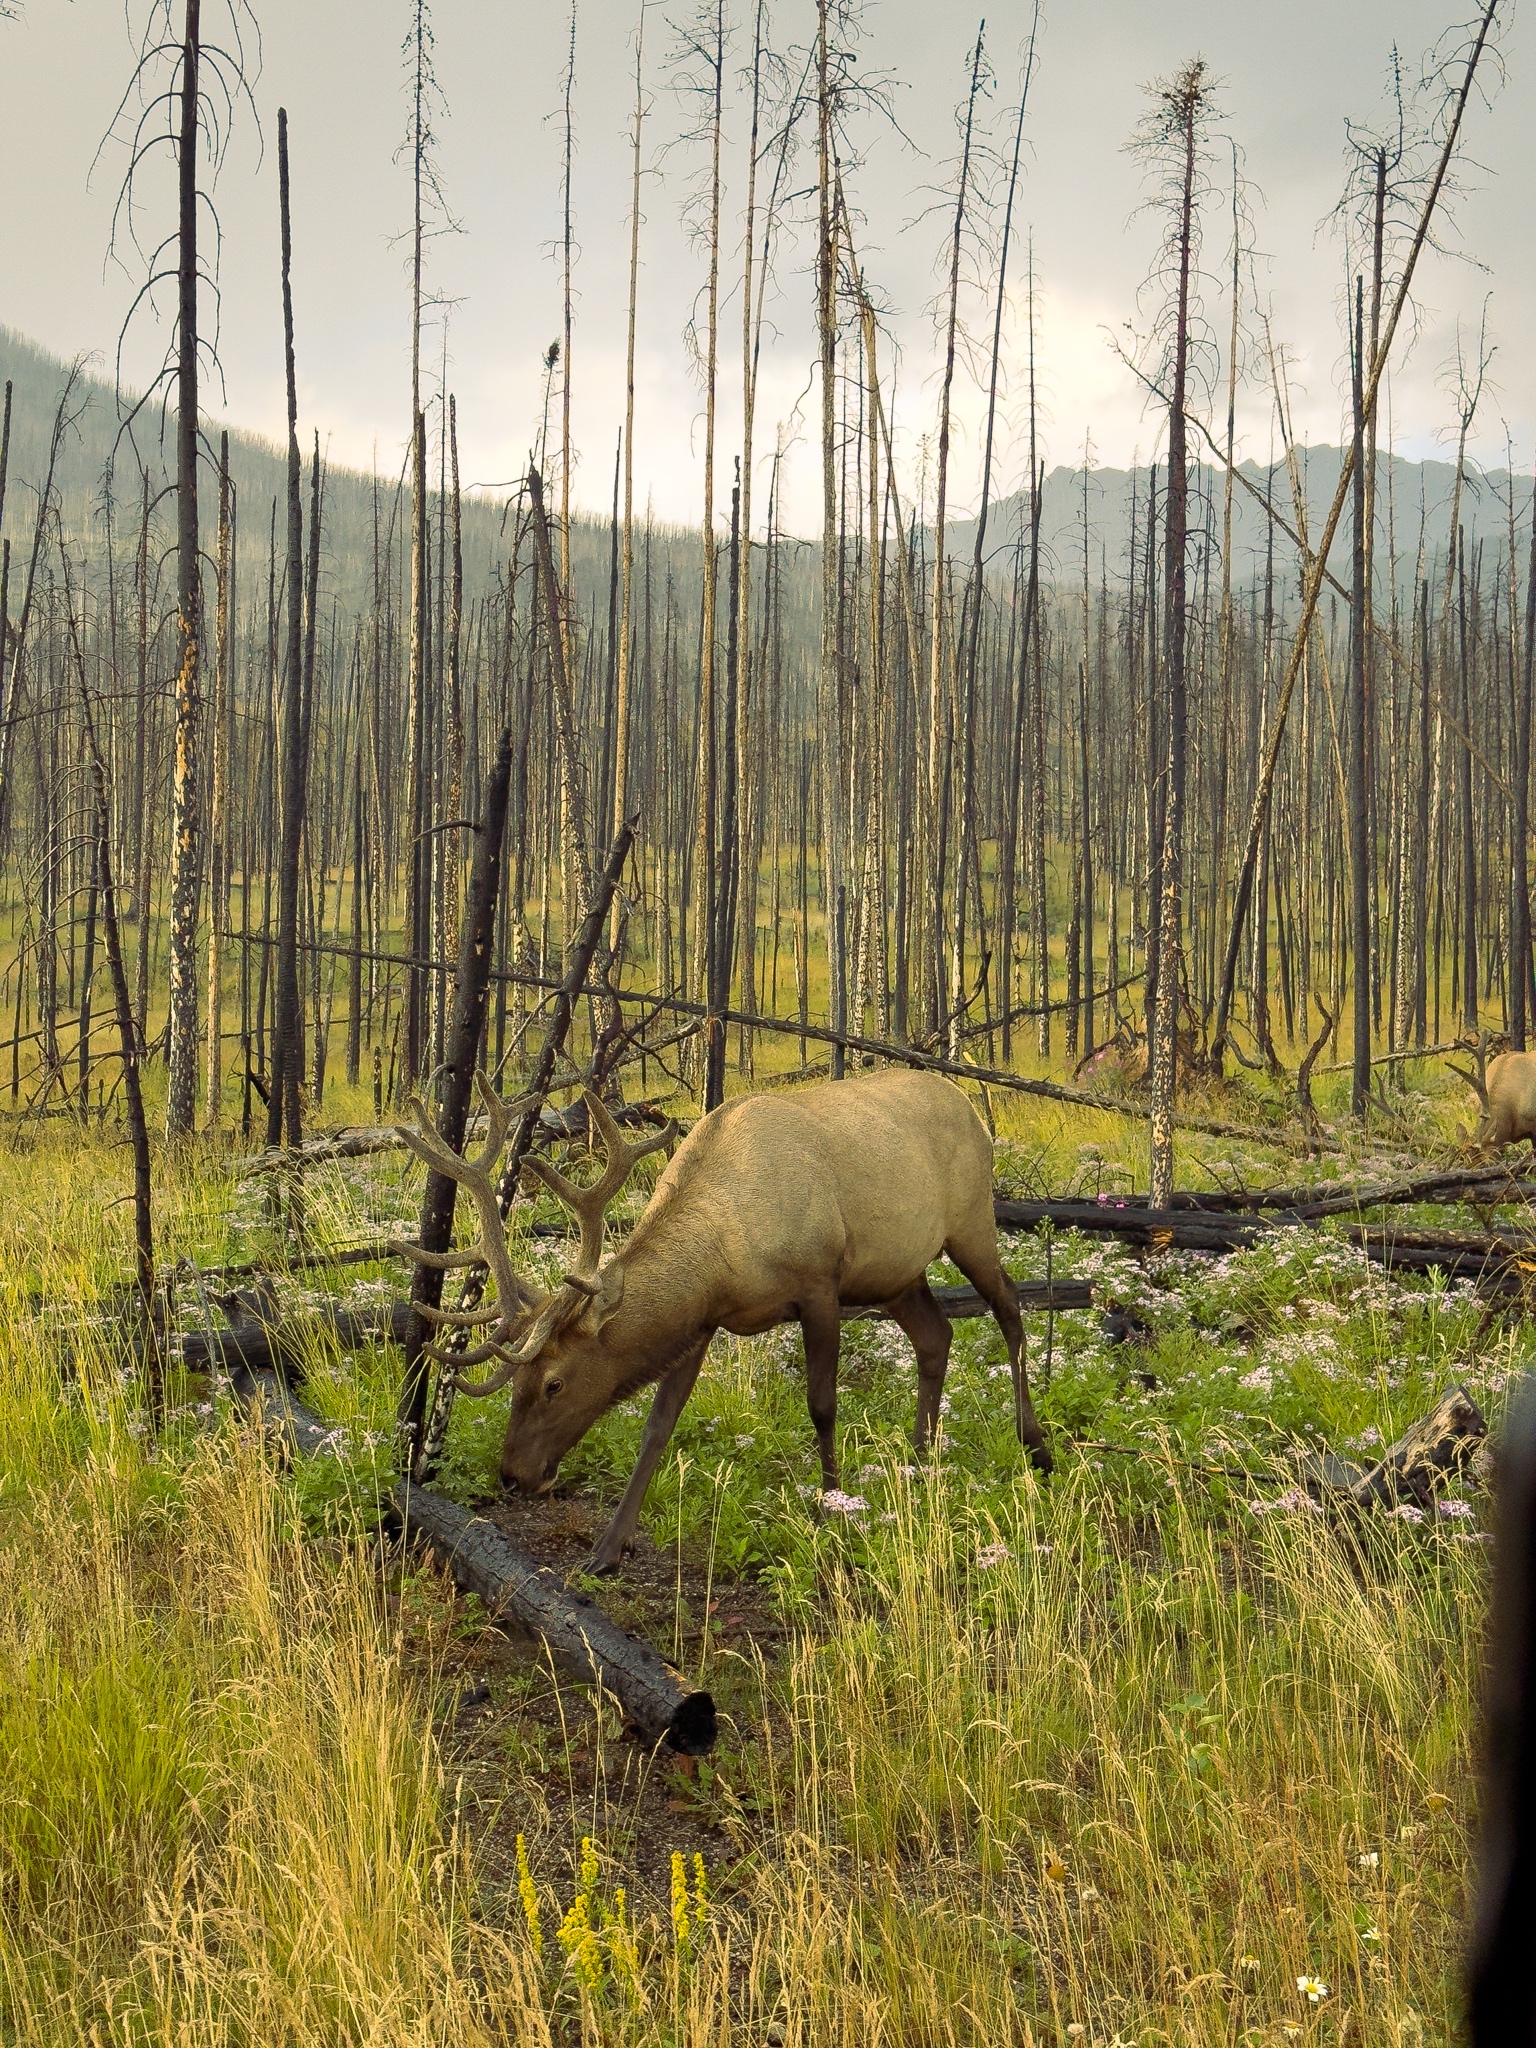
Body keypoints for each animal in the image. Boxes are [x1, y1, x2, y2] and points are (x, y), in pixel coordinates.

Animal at [392, 1068, 1051, 1573]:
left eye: (554, 1382)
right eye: (519, 1385)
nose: (512, 1474)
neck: (728, 1259)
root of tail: (968, 1105)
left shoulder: (820, 1283)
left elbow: (822, 1403)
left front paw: (832, 1505)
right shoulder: (703, 1323)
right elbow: (658, 1426)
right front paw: (607, 1548)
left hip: (972, 1221)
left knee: (1011, 1308)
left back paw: (1034, 1443)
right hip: (897, 1274)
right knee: (936, 1335)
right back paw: (917, 1456)